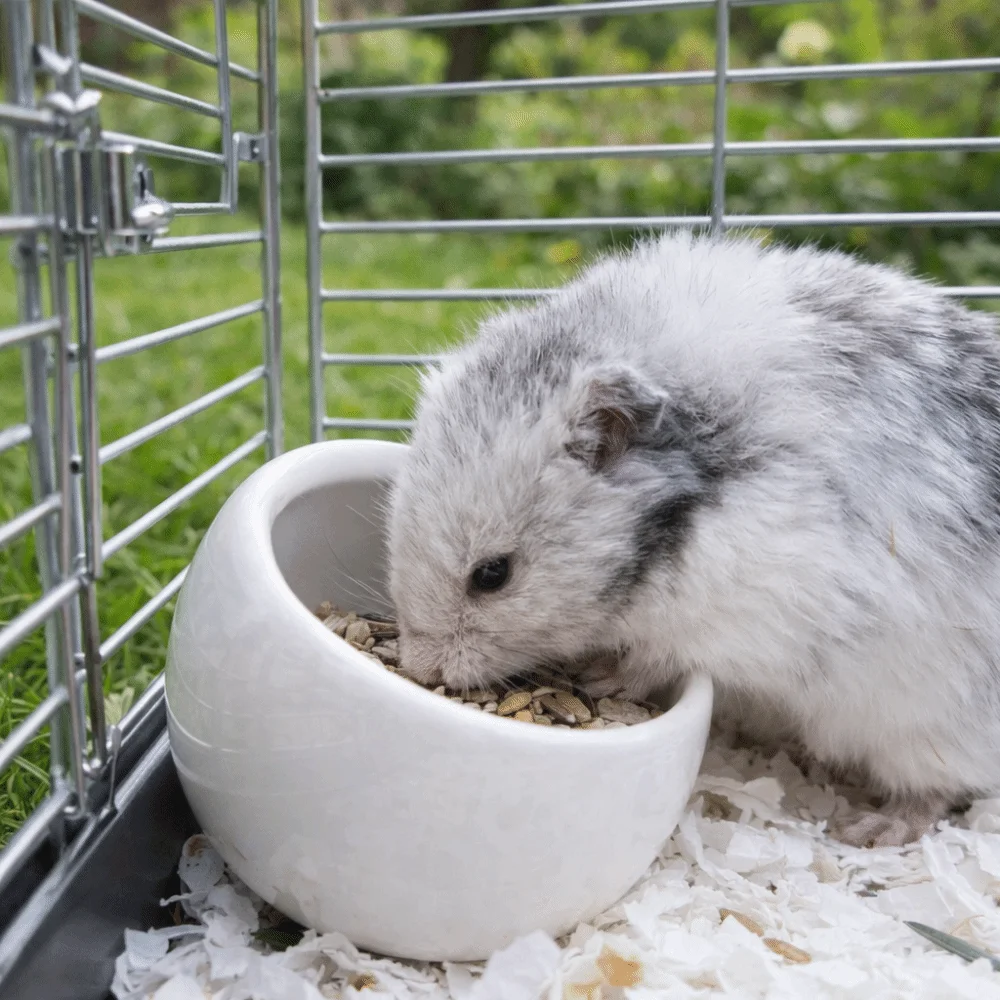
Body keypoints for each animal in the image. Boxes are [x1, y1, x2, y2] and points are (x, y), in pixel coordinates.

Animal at [386, 230, 1000, 848]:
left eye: (493, 575)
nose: (420, 668)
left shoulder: (743, 614)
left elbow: (655, 657)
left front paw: (598, 677)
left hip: (922, 726)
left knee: (936, 790)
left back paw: (870, 830)